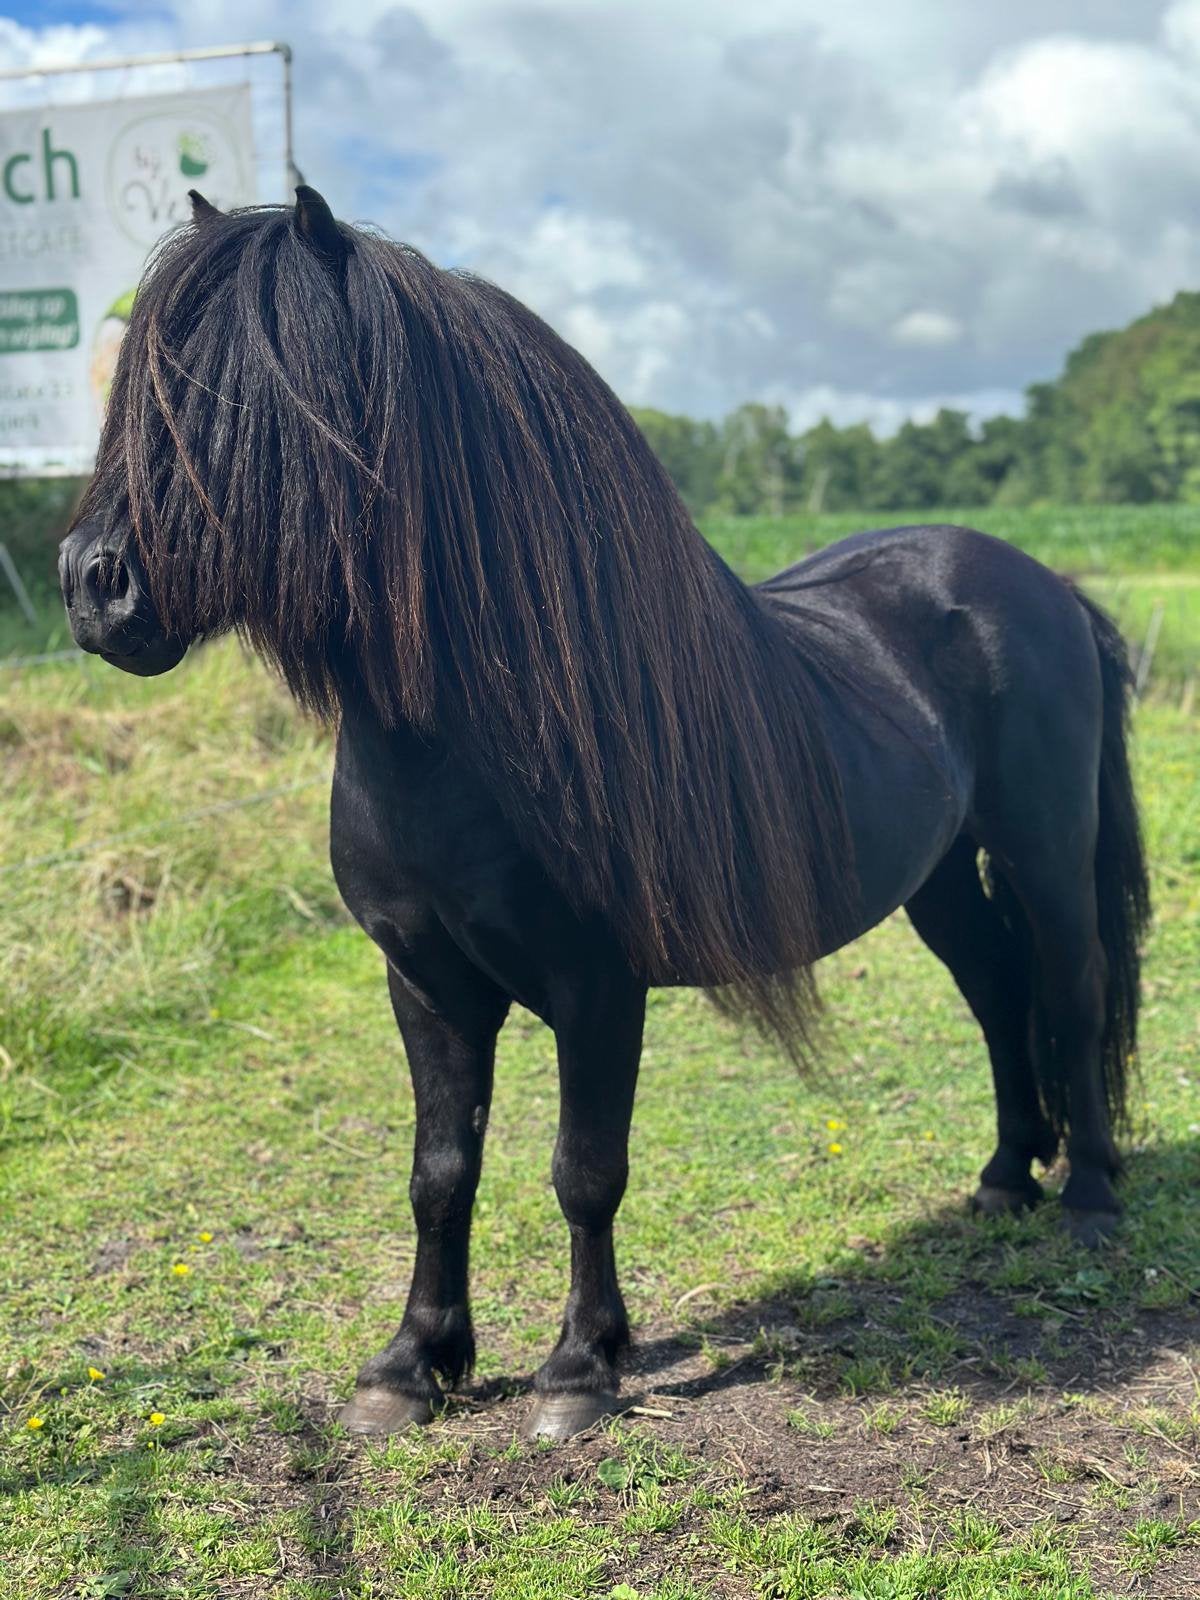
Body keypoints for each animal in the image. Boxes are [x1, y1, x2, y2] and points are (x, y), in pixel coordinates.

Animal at [60, 188, 1150, 1442]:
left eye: (248, 394)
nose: (92, 583)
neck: (466, 748)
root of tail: (1043, 582)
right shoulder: (424, 982)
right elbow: (441, 1169)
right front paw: (413, 1365)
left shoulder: (597, 985)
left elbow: (585, 1168)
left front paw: (579, 1367)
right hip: (939, 881)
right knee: (995, 995)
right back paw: (1003, 1178)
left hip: (1048, 857)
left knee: (1069, 991)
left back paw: (1090, 1198)